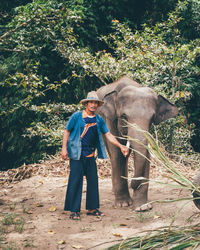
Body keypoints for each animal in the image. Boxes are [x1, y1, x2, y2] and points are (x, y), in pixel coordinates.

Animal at [96, 75, 178, 211]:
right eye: (124, 116)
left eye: (152, 118)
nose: (132, 183)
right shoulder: (110, 120)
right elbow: (117, 153)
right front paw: (123, 204)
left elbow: (145, 155)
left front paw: (142, 207)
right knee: (113, 154)